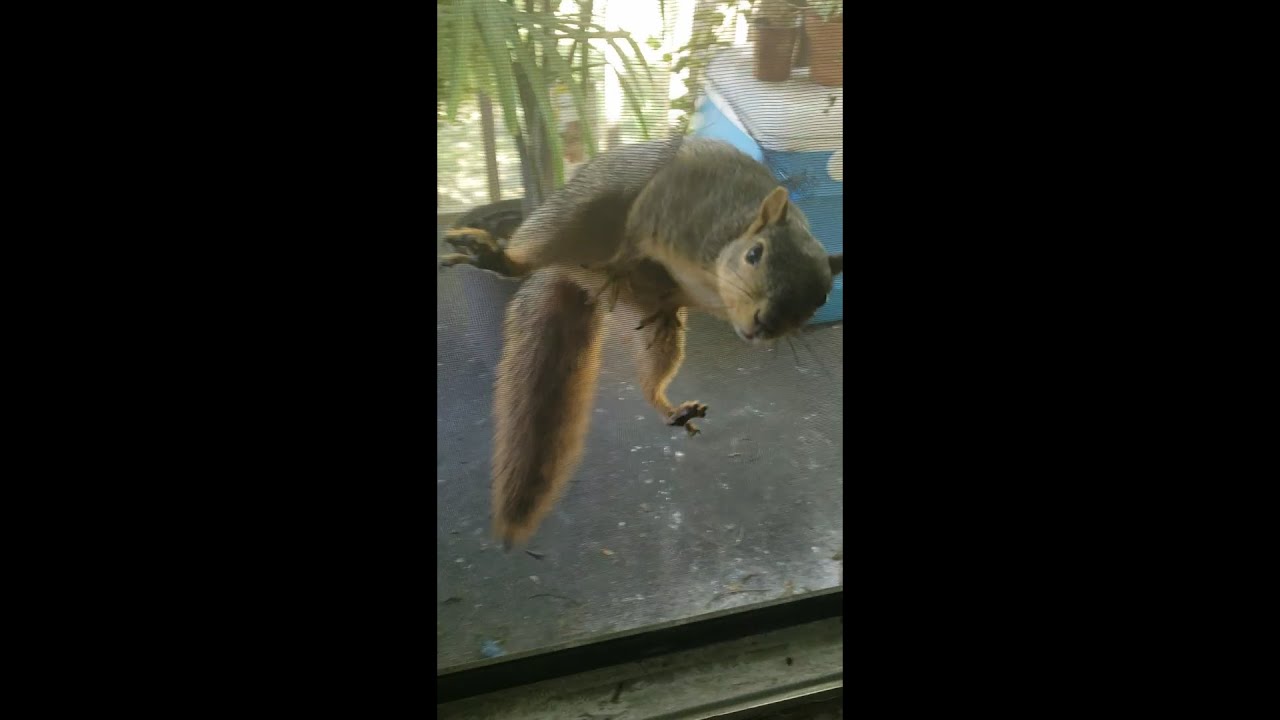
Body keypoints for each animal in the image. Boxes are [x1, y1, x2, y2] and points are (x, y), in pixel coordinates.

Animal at [440, 135, 843, 549]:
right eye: (754, 253)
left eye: (822, 297)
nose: (766, 324)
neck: (713, 281)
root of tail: (576, 279)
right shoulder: (670, 210)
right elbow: (634, 237)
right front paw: (620, 266)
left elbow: (672, 300)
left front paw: (667, 310)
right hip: (568, 215)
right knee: (531, 256)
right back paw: (497, 257)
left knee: (654, 373)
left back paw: (673, 407)